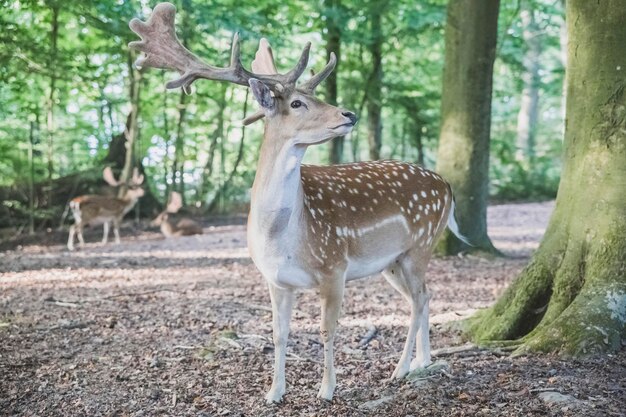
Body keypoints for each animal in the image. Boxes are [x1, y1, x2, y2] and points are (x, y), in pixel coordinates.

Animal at [129, 2, 466, 404]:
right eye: (297, 102)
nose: (349, 114)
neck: (283, 237)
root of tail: (446, 185)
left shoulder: (334, 266)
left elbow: (327, 329)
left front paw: (327, 389)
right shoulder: (276, 280)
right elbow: (279, 334)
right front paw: (274, 392)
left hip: (420, 245)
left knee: (418, 299)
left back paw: (400, 369)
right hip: (393, 261)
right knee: (425, 296)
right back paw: (421, 362)